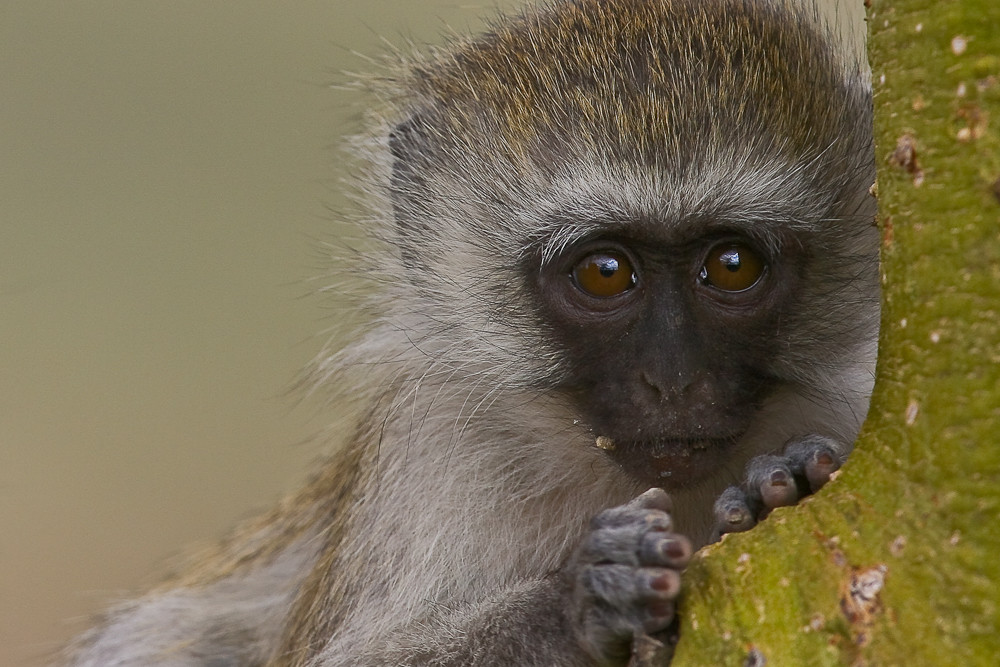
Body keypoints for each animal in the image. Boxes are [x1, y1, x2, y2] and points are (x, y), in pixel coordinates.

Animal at [64, 0, 876, 664]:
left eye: (733, 265)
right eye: (604, 272)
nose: (675, 381)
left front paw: (782, 482)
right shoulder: (432, 453)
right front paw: (580, 599)